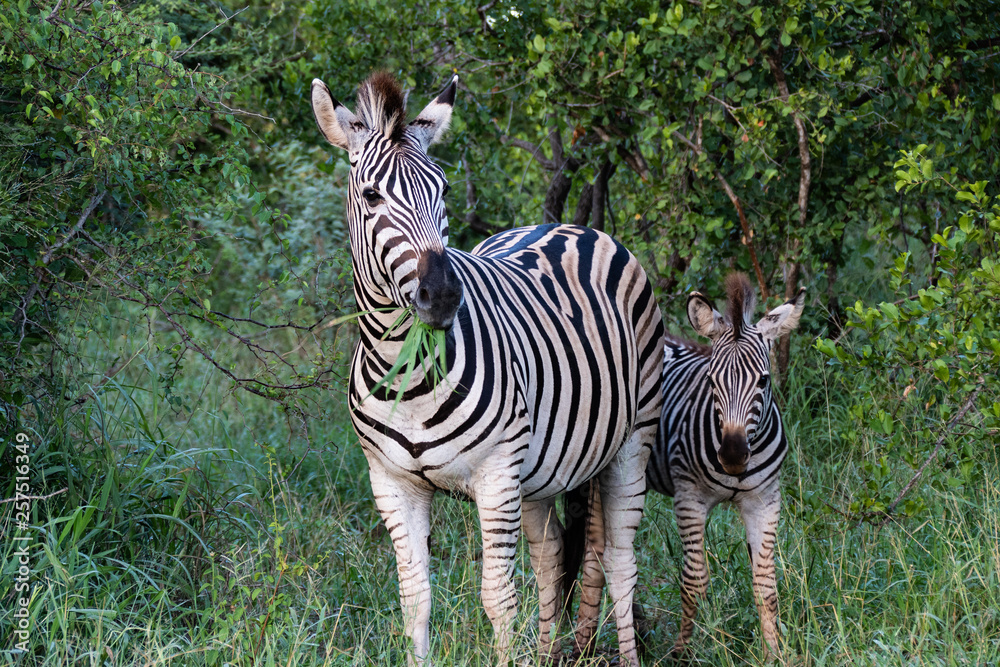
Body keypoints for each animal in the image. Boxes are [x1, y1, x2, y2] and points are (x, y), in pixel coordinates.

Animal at [310, 71, 664, 666]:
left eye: (444, 190)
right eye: (371, 195)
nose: (442, 296)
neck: (409, 371)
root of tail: (571, 226)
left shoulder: (498, 472)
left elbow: (498, 598)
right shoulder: (391, 482)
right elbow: (415, 599)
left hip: (631, 440)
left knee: (618, 559)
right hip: (543, 470)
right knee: (552, 554)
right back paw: (544, 653)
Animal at [568, 272, 804, 659]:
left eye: (764, 380)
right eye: (711, 381)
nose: (733, 457)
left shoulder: (765, 500)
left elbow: (766, 586)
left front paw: (774, 653)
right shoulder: (689, 499)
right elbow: (694, 580)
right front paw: (683, 651)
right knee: (595, 553)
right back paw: (588, 642)